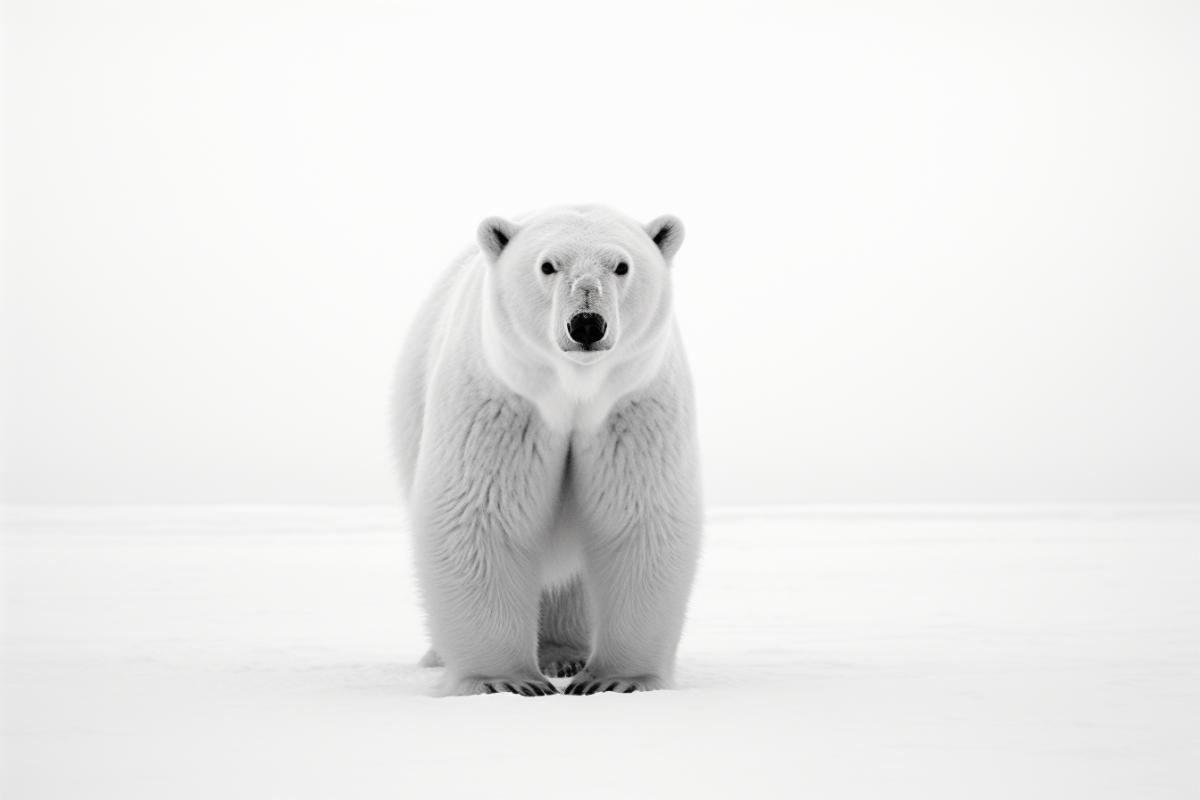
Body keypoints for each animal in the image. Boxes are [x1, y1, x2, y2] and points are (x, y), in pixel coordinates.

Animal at [392, 205, 702, 696]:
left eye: (621, 265)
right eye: (547, 265)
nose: (587, 323)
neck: (574, 389)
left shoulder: (630, 407)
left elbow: (639, 516)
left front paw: (617, 681)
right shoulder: (504, 402)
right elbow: (481, 515)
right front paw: (504, 681)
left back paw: (563, 654)